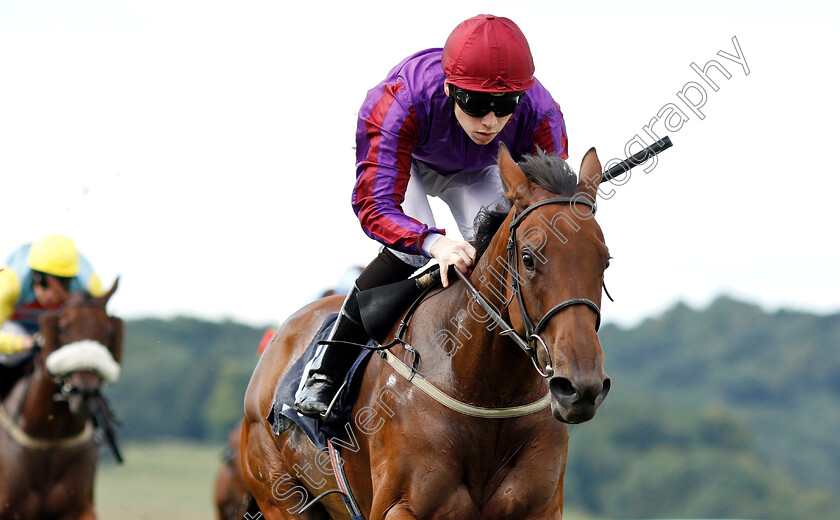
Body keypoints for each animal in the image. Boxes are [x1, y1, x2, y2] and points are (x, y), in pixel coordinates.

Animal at [243, 144, 612, 516]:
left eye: (605, 261)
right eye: (528, 258)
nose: (581, 386)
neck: (487, 390)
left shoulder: (541, 507)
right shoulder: (398, 506)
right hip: (281, 495)